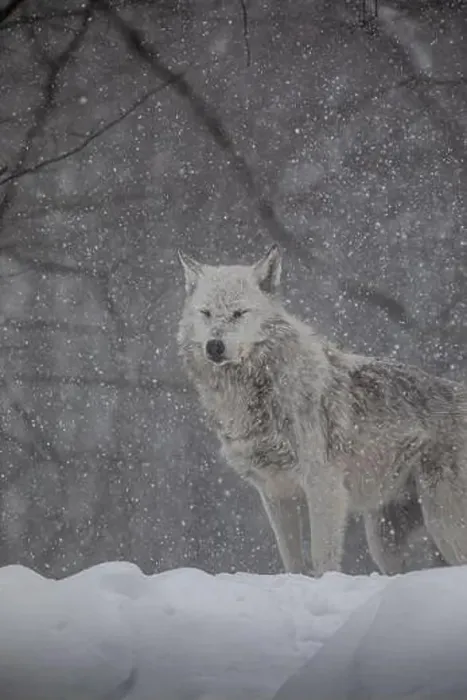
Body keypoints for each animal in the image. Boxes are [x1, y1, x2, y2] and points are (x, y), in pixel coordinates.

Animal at [177, 245, 467, 575]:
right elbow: (291, 559)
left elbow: (321, 558)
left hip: (443, 523)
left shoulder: (323, 486)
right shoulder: (276, 493)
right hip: (384, 538)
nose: (214, 345)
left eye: (239, 313)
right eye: (206, 313)